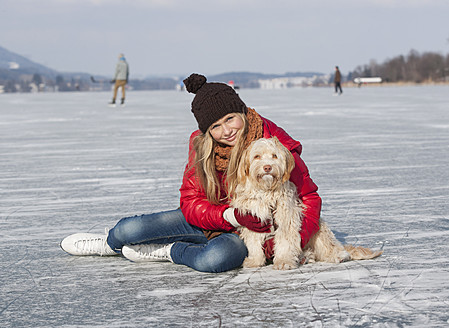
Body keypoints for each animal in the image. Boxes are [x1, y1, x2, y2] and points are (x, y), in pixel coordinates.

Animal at [231, 137, 382, 270]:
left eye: (274, 156)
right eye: (257, 156)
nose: (267, 167)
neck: (267, 191)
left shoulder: (287, 217)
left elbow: (285, 240)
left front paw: (284, 262)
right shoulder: (253, 217)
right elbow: (254, 243)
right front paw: (255, 261)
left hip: (319, 230)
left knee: (330, 247)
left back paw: (335, 255)